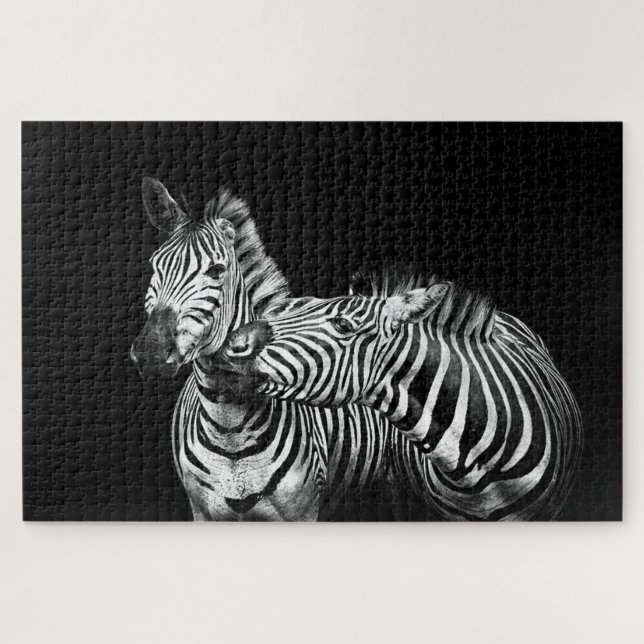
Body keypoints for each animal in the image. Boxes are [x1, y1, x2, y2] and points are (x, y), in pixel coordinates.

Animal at [130, 178, 394, 520]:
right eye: (155, 266)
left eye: (216, 271)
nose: (150, 353)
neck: (228, 428)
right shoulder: (202, 511)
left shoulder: (302, 512)